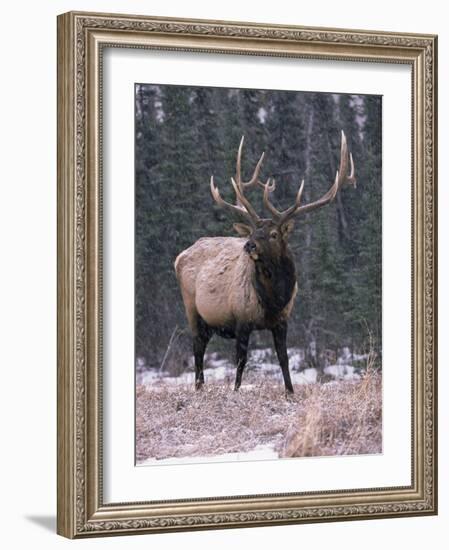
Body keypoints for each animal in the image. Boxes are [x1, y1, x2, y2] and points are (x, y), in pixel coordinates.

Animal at [174, 132, 354, 394]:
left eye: (273, 234)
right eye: (253, 231)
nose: (249, 245)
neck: (274, 299)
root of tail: (179, 257)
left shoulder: (282, 321)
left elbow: (283, 358)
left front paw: (290, 392)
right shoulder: (241, 320)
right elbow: (241, 360)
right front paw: (236, 391)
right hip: (192, 309)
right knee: (197, 348)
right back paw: (198, 387)